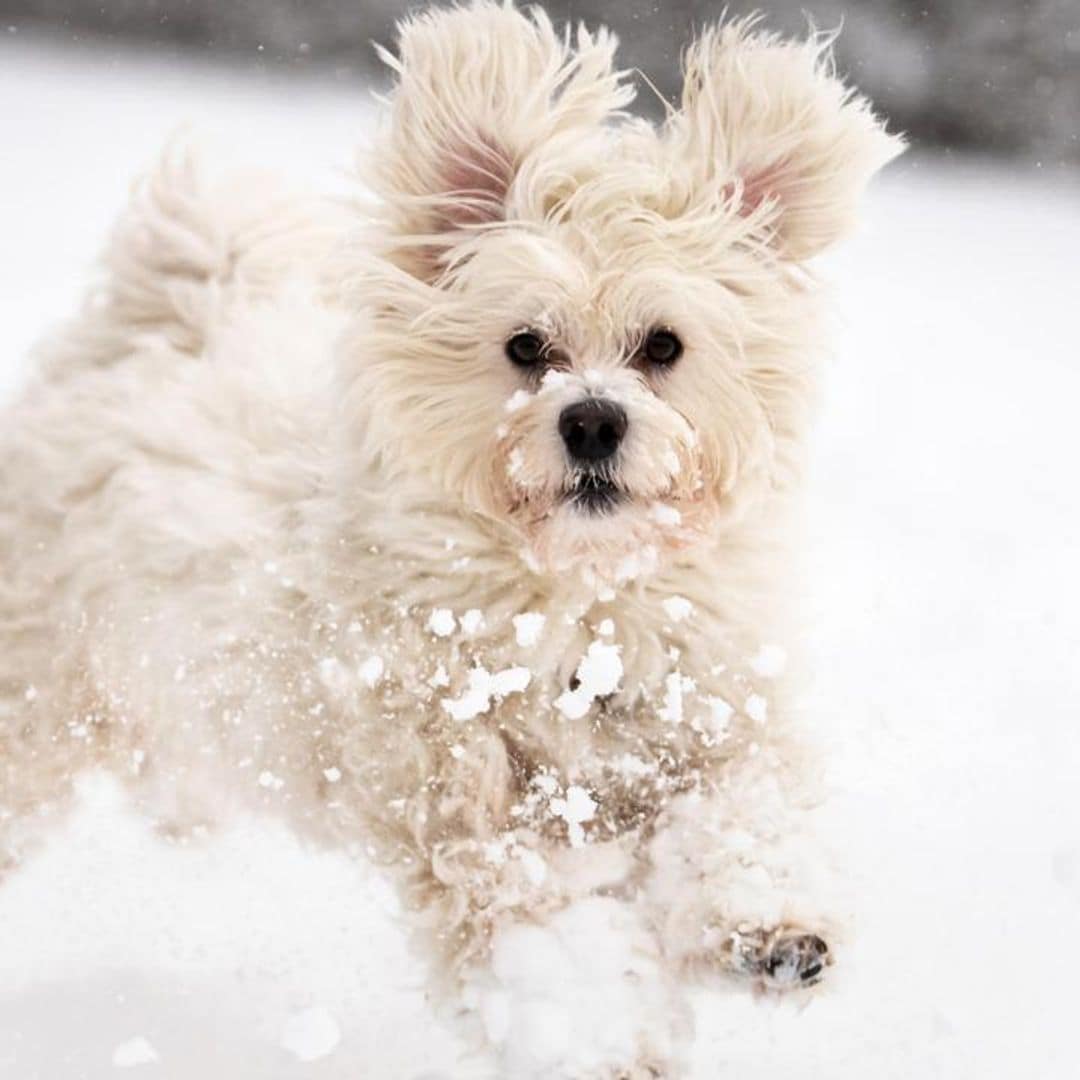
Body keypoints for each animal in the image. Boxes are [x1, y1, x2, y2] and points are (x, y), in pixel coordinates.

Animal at [0, 4, 902, 1075]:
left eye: (664, 346)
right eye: (525, 346)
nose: (592, 420)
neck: (575, 603)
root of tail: (156, 326)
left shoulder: (710, 716)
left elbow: (744, 812)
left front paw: (772, 926)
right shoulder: (469, 810)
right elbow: (549, 932)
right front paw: (604, 1041)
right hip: (36, 704)